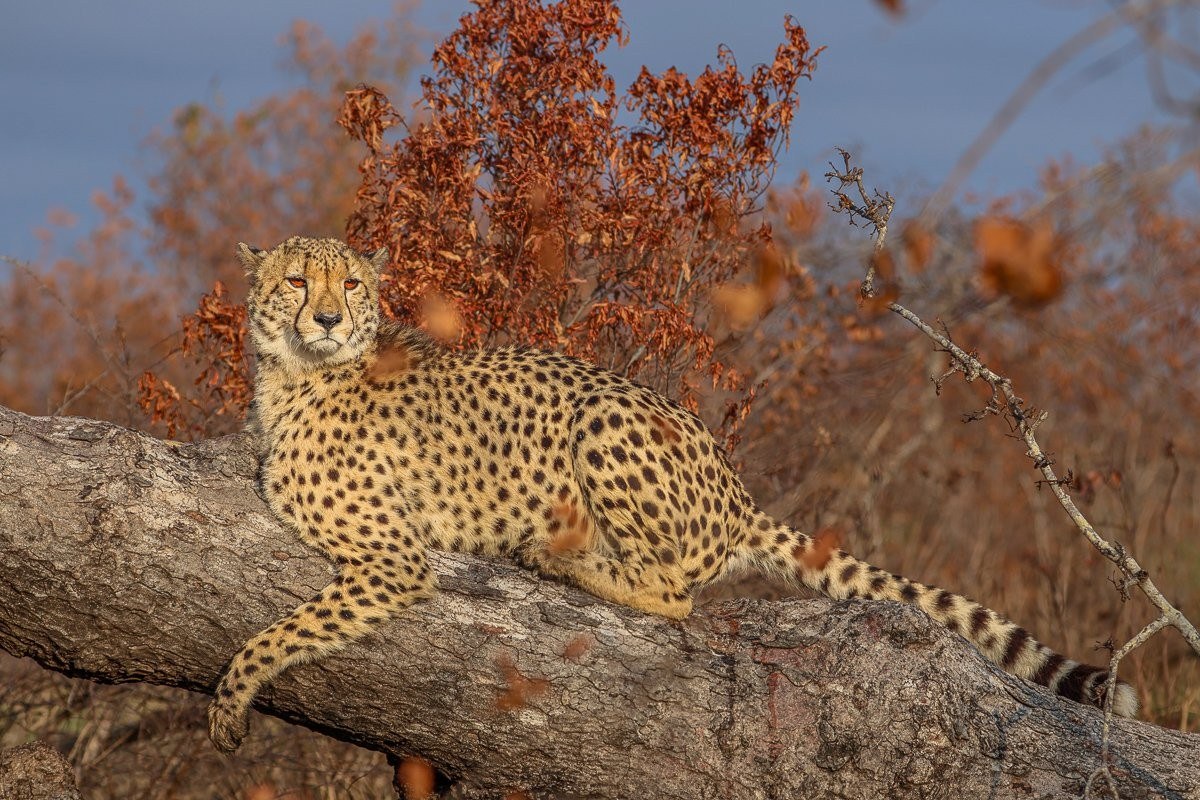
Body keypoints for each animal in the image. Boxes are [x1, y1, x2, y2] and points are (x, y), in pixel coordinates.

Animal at [207, 235, 1137, 753]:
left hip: (603, 414)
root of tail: (734, 483)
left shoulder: (394, 558)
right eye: (296, 282)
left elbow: (283, 632)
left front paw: (228, 704)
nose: (328, 319)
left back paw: (562, 557)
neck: (297, 375)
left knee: (677, 591)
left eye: (350, 286)